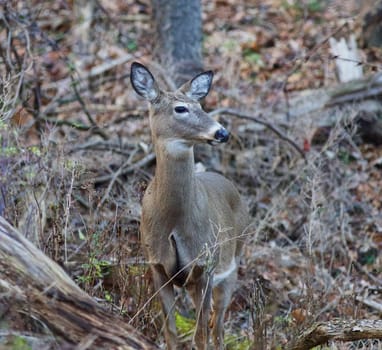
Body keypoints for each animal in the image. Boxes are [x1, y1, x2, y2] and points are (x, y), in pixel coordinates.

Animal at [131, 61, 251, 348]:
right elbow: (171, 331)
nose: (222, 132)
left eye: (201, 105)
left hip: (232, 263)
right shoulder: (156, 264)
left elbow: (200, 335)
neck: (174, 221)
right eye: (180, 108)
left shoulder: (205, 264)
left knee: (218, 328)